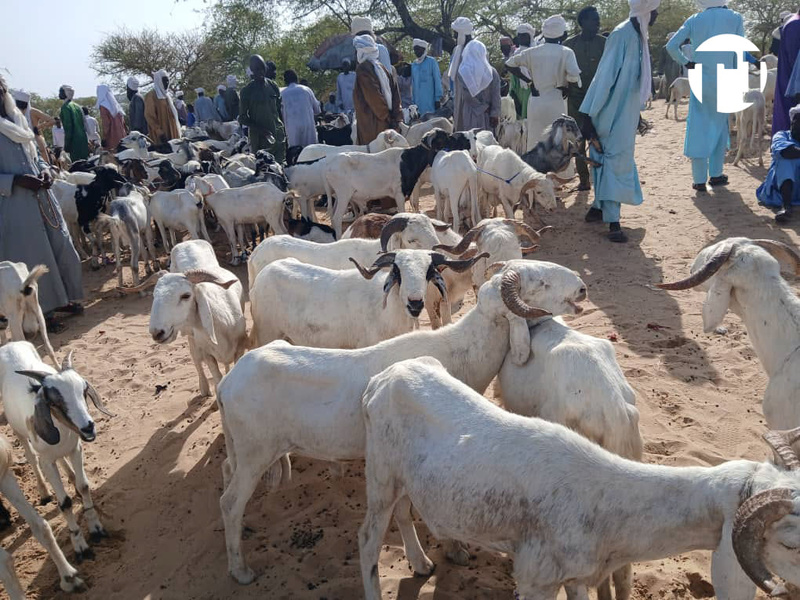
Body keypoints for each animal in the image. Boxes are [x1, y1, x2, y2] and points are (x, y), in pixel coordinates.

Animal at [0, 342, 113, 562]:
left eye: (83, 391)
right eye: (54, 402)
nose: (88, 427)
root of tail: (9, 344)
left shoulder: (75, 448)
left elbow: (84, 486)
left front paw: (95, 527)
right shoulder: (47, 462)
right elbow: (65, 502)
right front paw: (80, 546)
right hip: (18, 431)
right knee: (31, 457)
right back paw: (44, 492)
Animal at [130, 240, 246, 397]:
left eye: (186, 295)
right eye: (154, 295)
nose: (157, 333)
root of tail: (187, 242)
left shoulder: (239, 348)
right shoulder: (207, 354)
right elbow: (217, 377)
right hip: (191, 337)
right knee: (195, 359)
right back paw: (204, 389)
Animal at [217, 261, 588, 584]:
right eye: (540, 283)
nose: (582, 288)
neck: (465, 350)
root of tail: (226, 383)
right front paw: (453, 551)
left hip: (243, 449)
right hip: (254, 452)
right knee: (230, 503)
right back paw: (240, 570)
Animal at [251, 250, 485, 348]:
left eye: (429, 271)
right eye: (397, 270)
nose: (415, 302)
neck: (388, 313)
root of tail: (262, 274)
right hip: (267, 333)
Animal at [359, 356, 800, 600]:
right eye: (790, 544)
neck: (609, 500)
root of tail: (382, 377)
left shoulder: (575, 576)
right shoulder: (535, 578)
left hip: (403, 477)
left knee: (404, 511)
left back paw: (421, 563)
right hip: (379, 474)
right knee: (367, 539)